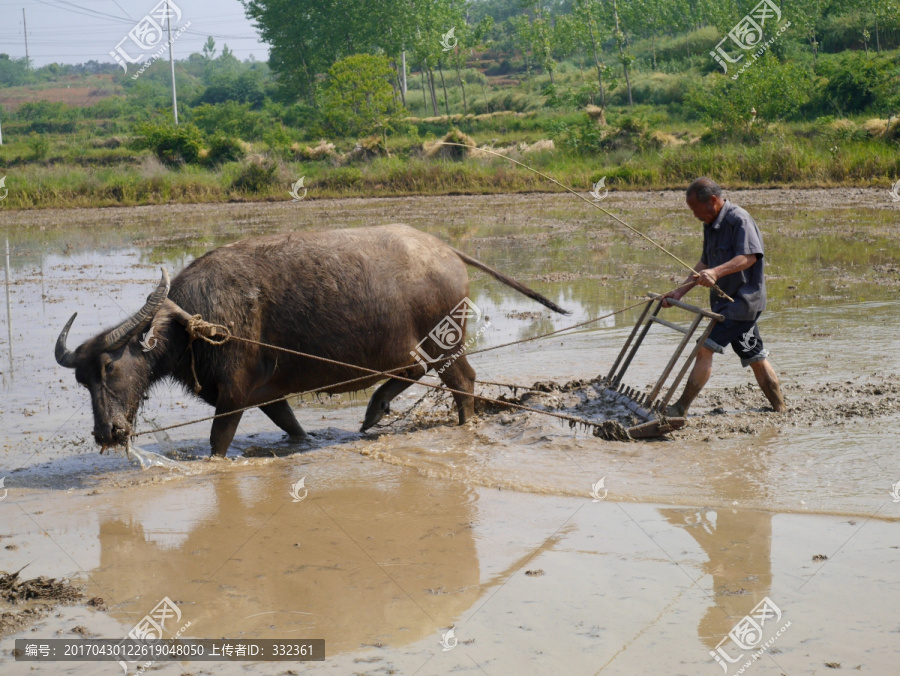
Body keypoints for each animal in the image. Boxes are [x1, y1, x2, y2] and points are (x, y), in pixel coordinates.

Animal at [58, 224, 568, 456]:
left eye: (109, 367)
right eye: (82, 381)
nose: (108, 432)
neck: (195, 324)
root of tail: (444, 250)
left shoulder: (233, 396)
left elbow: (218, 441)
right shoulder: (267, 394)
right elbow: (291, 426)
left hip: (445, 340)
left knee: (461, 381)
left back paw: (456, 425)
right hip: (414, 345)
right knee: (417, 370)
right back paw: (374, 410)